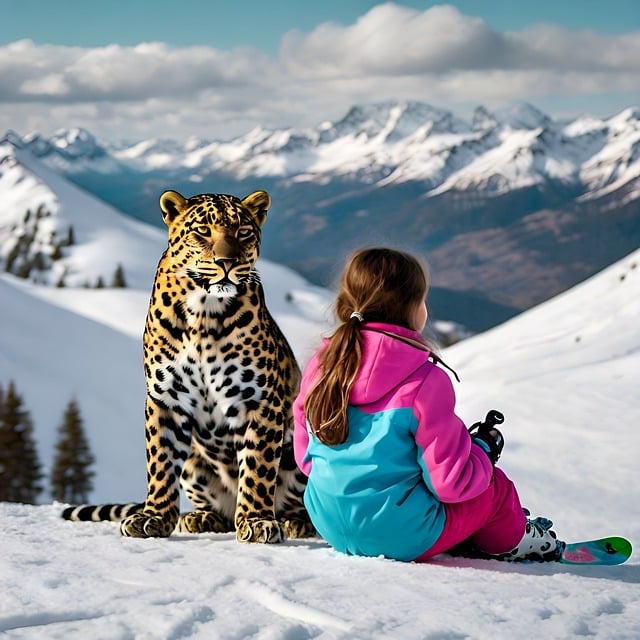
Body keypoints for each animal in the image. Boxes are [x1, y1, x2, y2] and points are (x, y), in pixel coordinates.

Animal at [61, 188, 316, 544]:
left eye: (243, 231)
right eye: (203, 231)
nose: (227, 262)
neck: (205, 314)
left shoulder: (260, 400)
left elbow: (258, 466)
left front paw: (256, 520)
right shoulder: (165, 398)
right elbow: (161, 463)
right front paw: (153, 517)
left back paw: (295, 521)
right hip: (196, 462)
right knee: (215, 508)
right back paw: (200, 518)